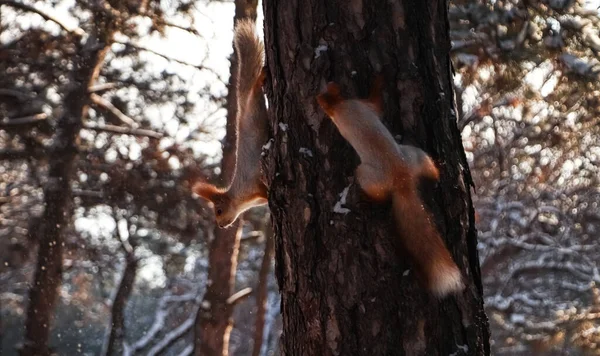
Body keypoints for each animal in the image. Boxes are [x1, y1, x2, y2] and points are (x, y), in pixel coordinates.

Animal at [192, 18, 268, 228]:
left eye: (219, 210)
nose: (220, 226)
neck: (242, 199)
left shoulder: (252, 181)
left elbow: (263, 187)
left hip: (253, 106)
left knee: (254, 88)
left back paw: (262, 77)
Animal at [316, 77, 466, 298]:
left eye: (323, 94)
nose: (321, 92)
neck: (340, 105)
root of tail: (402, 179)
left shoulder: (357, 106)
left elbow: (375, 101)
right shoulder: (364, 106)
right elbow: (377, 102)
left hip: (367, 174)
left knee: (379, 195)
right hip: (415, 155)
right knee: (429, 169)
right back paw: (439, 171)